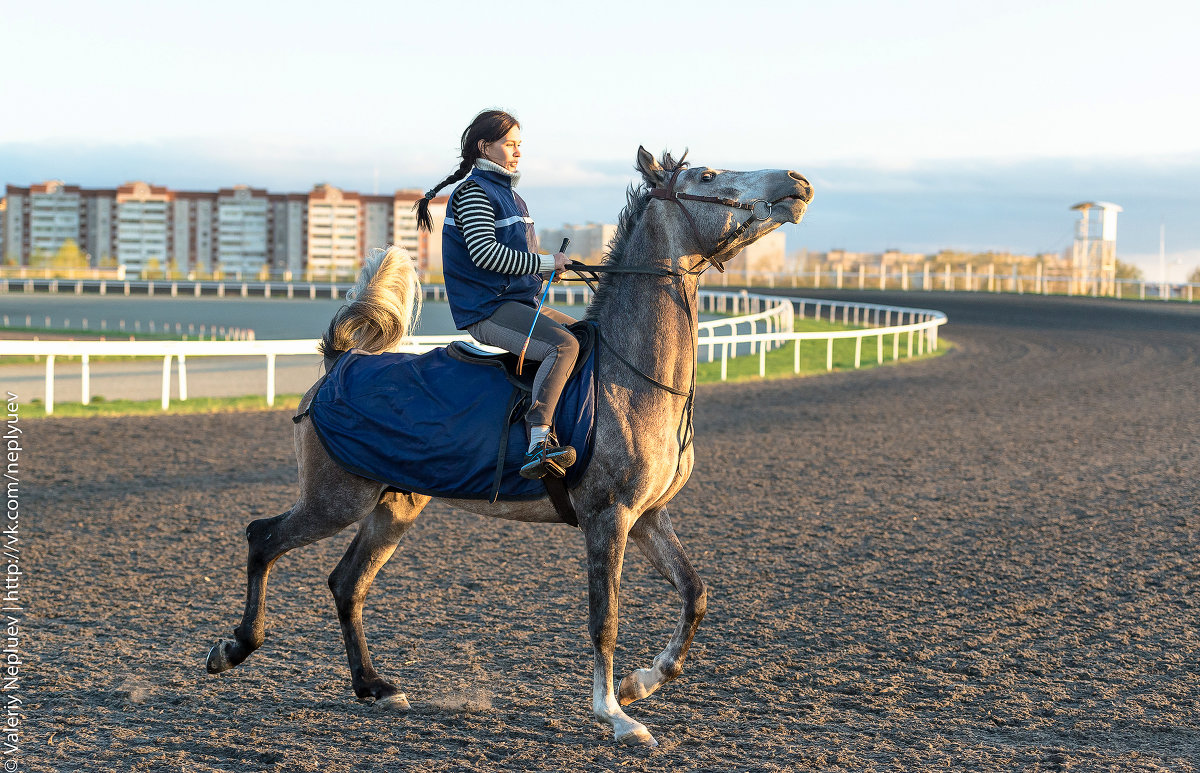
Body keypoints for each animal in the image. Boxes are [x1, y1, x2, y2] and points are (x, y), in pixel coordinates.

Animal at [208, 148, 816, 744]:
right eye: (708, 175)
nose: (797, 180)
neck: (630, 376)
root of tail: (341, 362)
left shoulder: (648, 517)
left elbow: (695, 594)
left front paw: (642, 682)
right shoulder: (608, 517)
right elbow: (605, 618)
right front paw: (614, 714)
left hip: (394, 505)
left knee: (346, 584)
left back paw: (375, 687)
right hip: (336, 500)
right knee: (264, 539)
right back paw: (234, 648)